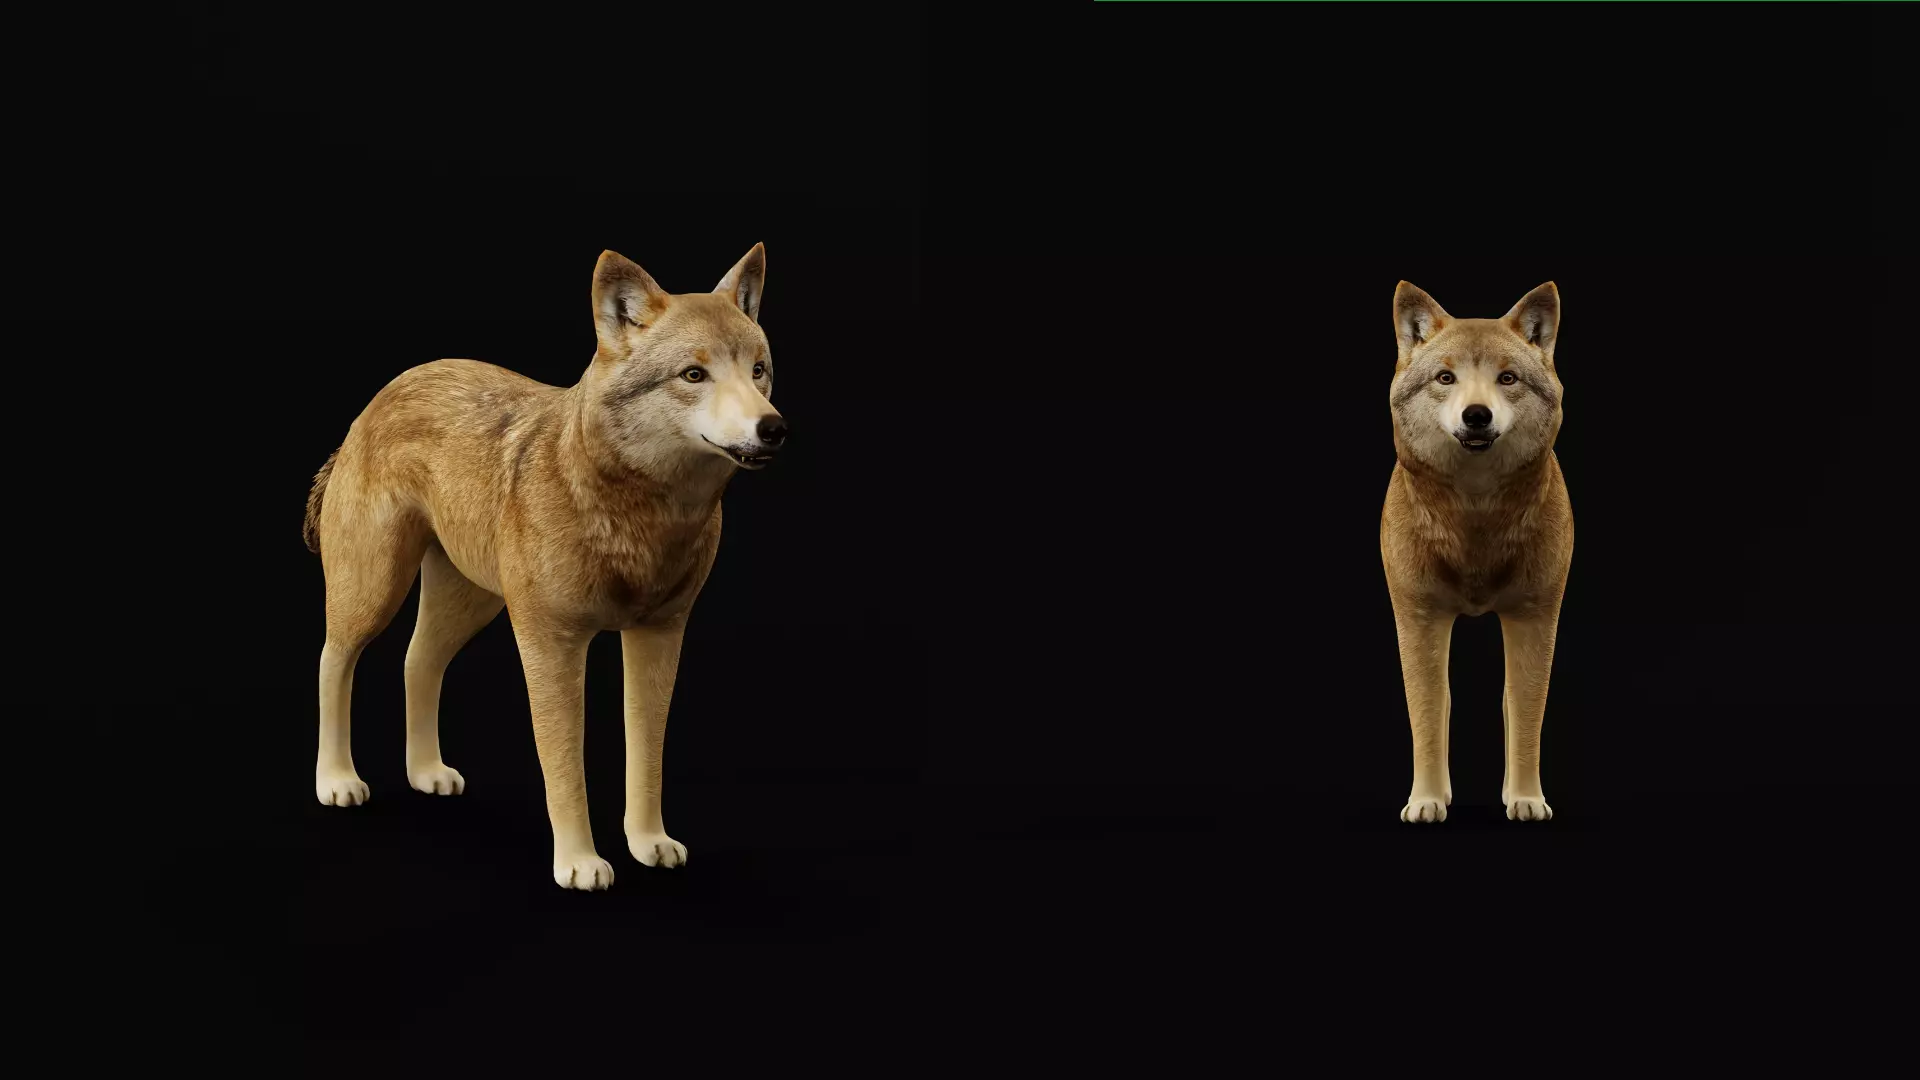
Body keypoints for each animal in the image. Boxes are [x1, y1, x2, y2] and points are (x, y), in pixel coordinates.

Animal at [302, 244, 783, 889]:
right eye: (693, 375)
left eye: (758, 371)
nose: (773, 428)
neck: (643, 514)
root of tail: (382, 395)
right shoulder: (550, 643)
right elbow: (564, 766)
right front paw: (579, 862)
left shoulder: (660, 636)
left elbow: (646, 753)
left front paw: (648, 843)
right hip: (375, 590)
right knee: (334, 660)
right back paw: (337, 780)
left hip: (470, 603)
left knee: (416, 661)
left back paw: (426, 771)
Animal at [1381, 280, 1571, 824]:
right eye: (1446, 378)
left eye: (1507, 378)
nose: (1477, 415)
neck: (1475, 515)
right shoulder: (1418, 618)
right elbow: (1428, 715)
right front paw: (1425, 801)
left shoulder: (1535, 617)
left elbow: (1524, 714)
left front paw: (1526, 799)